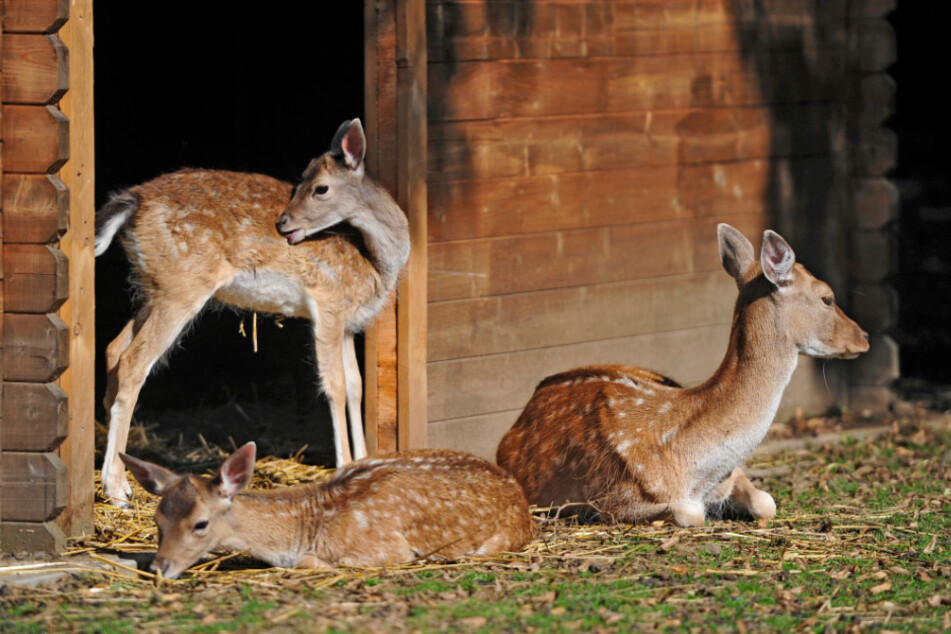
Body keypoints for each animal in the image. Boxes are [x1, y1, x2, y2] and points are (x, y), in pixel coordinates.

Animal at [95, 119, 410, 504]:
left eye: (319, 187)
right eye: (301, 182)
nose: (283, 223)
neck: (373, 263)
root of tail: (132, 201)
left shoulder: (349, 323)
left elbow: (356, 385)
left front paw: (364, 461)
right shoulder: (328, 304)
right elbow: (334, 385)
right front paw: (345, 464)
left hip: (155, 287)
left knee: (114, 348)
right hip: (180, 287)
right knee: (133, 361)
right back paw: (116, 488)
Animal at [498, 225, 872, 524]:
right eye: (827, 297)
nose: (864, 337)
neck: (694, 469)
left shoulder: (732, 473)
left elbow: (766, 502)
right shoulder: (614, 499)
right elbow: (690, 513)